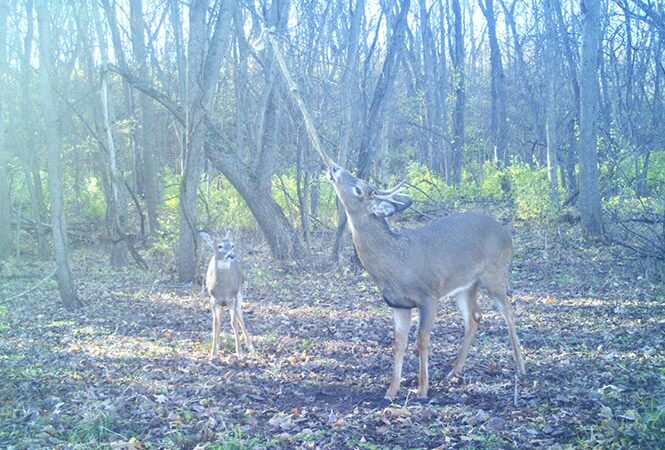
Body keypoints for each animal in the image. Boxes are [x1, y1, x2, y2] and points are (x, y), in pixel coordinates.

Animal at [198, 230, 253, 360]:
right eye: (220, 246)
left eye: (232, 245)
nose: (232, 255)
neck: (223, 289)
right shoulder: (213, 300)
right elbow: (215, 324)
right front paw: (213, 353)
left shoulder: (233, 298)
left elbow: (234, 323)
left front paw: (240, 353)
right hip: (221, 303)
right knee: (221, 318)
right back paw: (218, 344)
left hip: (239, 294)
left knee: (240, 317)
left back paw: (250, 345)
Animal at [326, 163, 524, 402]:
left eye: (359, 189)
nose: (334, 167)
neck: (394, 262)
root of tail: (506, 230)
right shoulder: (398, 305)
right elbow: (398, 343)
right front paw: (391, 391)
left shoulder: (428, 295)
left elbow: (422, 339)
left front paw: (422, 389)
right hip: (465, 285)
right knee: (474, 317)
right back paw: (453, 372)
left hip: (495, 273)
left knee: (508, 312)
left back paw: (521, 367)